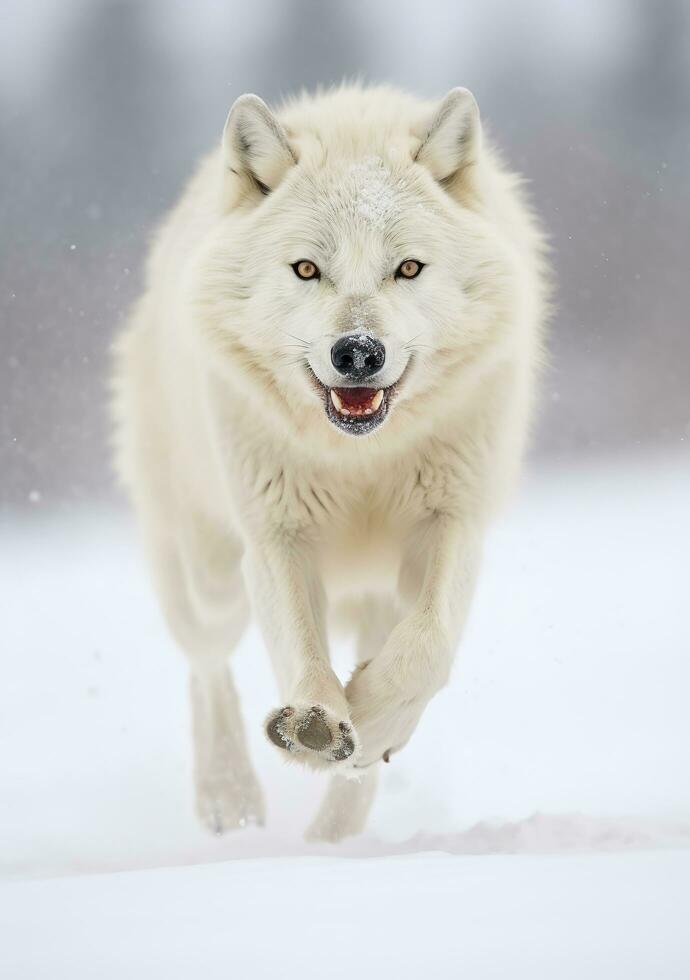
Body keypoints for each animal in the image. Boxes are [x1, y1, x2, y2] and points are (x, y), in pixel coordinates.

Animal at [110, 84, 544, 844]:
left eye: (408, 268)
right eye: (308, 269)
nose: (359, 353)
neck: (359, 460)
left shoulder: (453, 522)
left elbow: (427, 645)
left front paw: (365, 723)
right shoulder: (277, 535)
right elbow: (302, 654)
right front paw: (316, 722)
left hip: (371, 593)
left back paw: (333, 834)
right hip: (211, 579)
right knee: (205, 662)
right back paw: (229, 799)